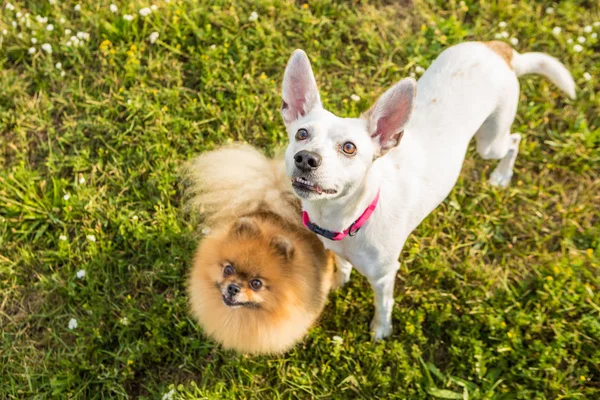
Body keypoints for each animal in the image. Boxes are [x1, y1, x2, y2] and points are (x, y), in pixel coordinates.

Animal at [282, 40, 576, 340]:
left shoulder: (384, 277)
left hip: (490, 142)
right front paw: (339, 281)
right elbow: (342, 264)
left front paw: (381, 331)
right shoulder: (336, 248)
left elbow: (383, 305)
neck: (350, 217)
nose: (305, 158)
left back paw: (502, 175)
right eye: (302, 134)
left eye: (349, 148)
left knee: (515, 140)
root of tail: (498, 48)